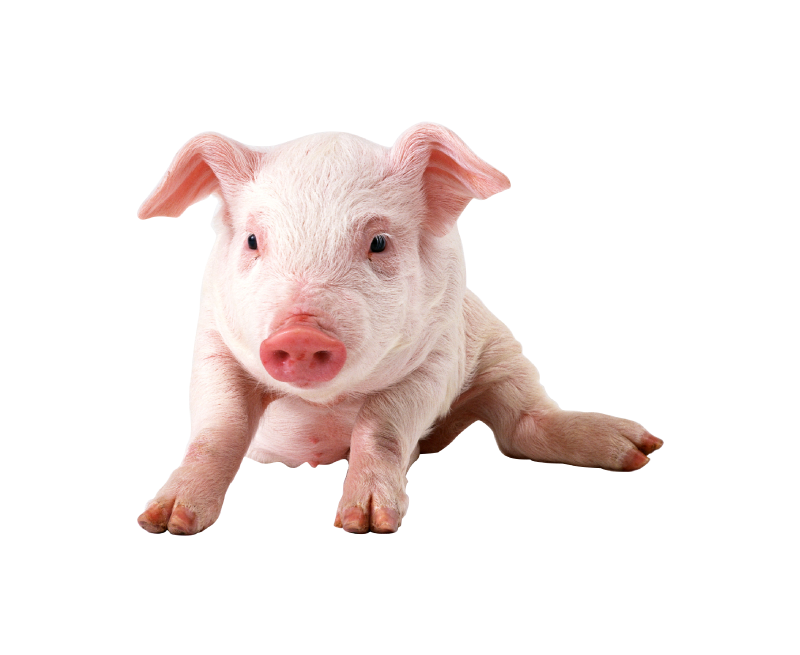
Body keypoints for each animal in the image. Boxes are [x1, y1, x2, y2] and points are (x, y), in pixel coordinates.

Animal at [136, 122, 663, 535]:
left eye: (379, 242)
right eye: (251, 241)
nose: (301, 334)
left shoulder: (440, 353)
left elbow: (381, 425)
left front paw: (365, 524)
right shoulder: (213, 343)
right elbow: (218, 427)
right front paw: (166, 521)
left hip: (501, 347)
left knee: (521, 425)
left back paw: (639, 449)